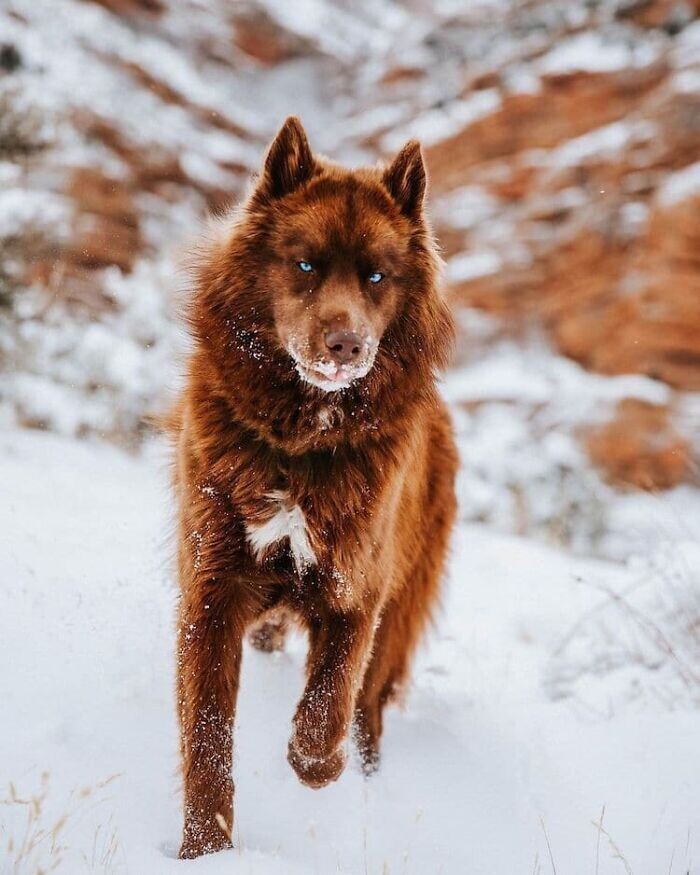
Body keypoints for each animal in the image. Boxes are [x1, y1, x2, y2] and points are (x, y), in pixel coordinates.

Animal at [171, 118, 460, 864]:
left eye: (377, 276)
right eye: (304, 265)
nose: (347, 345)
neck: (299, 446)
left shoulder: (358, 588)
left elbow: (330, 696)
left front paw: (316, 766)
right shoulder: (211, 592)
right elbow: (207, 735)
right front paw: (204, 851)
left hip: (401, 610)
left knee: (368, 707)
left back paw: (363, 775)